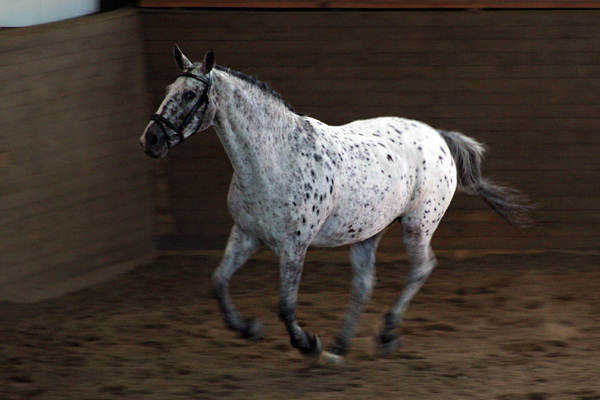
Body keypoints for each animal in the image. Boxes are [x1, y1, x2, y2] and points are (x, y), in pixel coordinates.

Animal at [140, 46, 532, 363]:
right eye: (168, 90)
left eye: (190, 93)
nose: (151, 139)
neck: (275, 158)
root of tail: (439, 137)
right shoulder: (246, 235)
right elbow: (218, 283)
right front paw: (249, 328)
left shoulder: (293, 247)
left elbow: (285, 306)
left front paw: (307, 344)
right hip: (369, 232)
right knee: (364, 284)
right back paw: (340, 346)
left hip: (417, 225)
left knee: (421, 268)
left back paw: (384, 336)